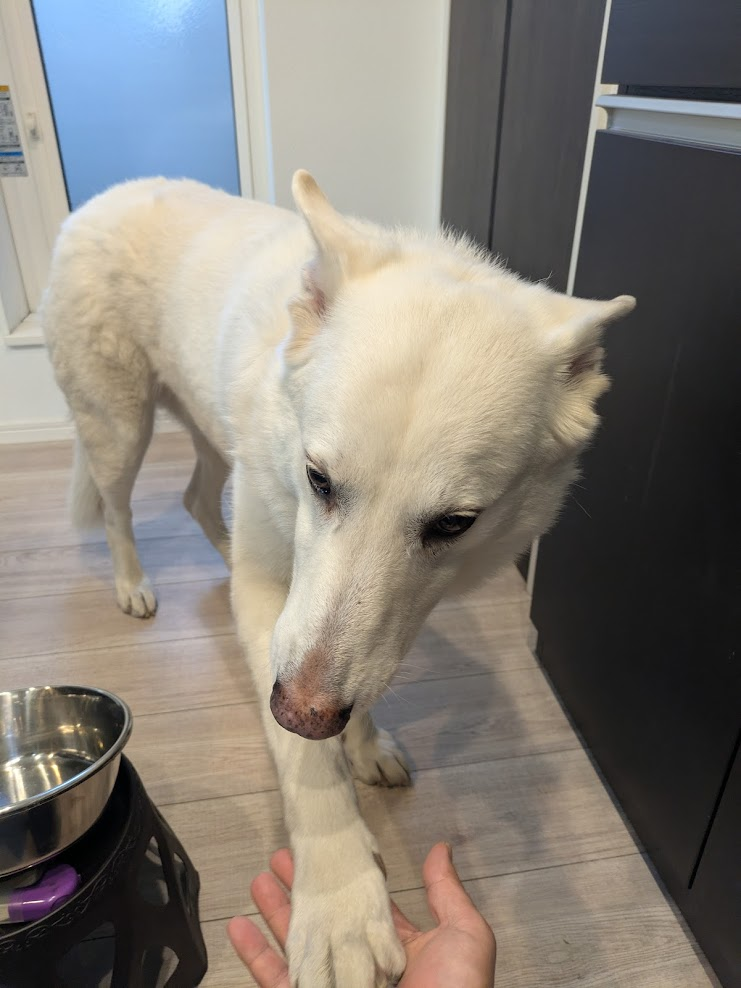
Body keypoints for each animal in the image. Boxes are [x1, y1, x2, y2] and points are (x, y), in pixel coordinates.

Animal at [42, 171, 634, 987]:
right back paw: (133, 586)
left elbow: (360, 673)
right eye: (318, 479)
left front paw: (362, 744)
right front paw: (340, 906)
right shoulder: (276, 610)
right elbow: (305, 763)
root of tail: (109, 194)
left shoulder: (379, 624)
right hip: (118, 426)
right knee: (115, 506)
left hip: (206, 434)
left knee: (199, 496)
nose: (304, 711)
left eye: (454, 524)